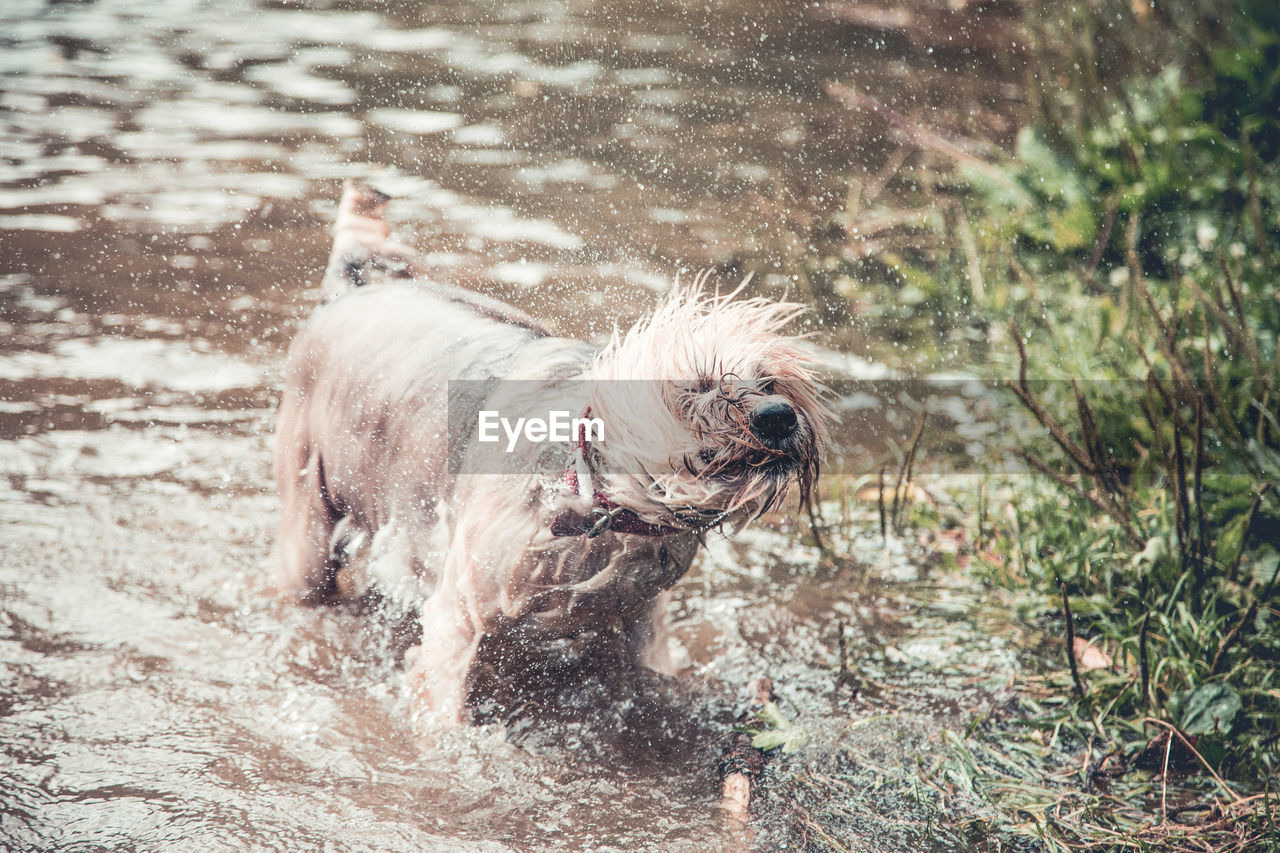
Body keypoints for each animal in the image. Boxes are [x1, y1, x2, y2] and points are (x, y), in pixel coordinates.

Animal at [273, 179, 824, 722]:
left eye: (771, 382)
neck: (594, 496)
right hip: (308, 530)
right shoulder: (455, 623)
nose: (779, 416)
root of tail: (349, 291)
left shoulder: (644, 619)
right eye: (700, 386)